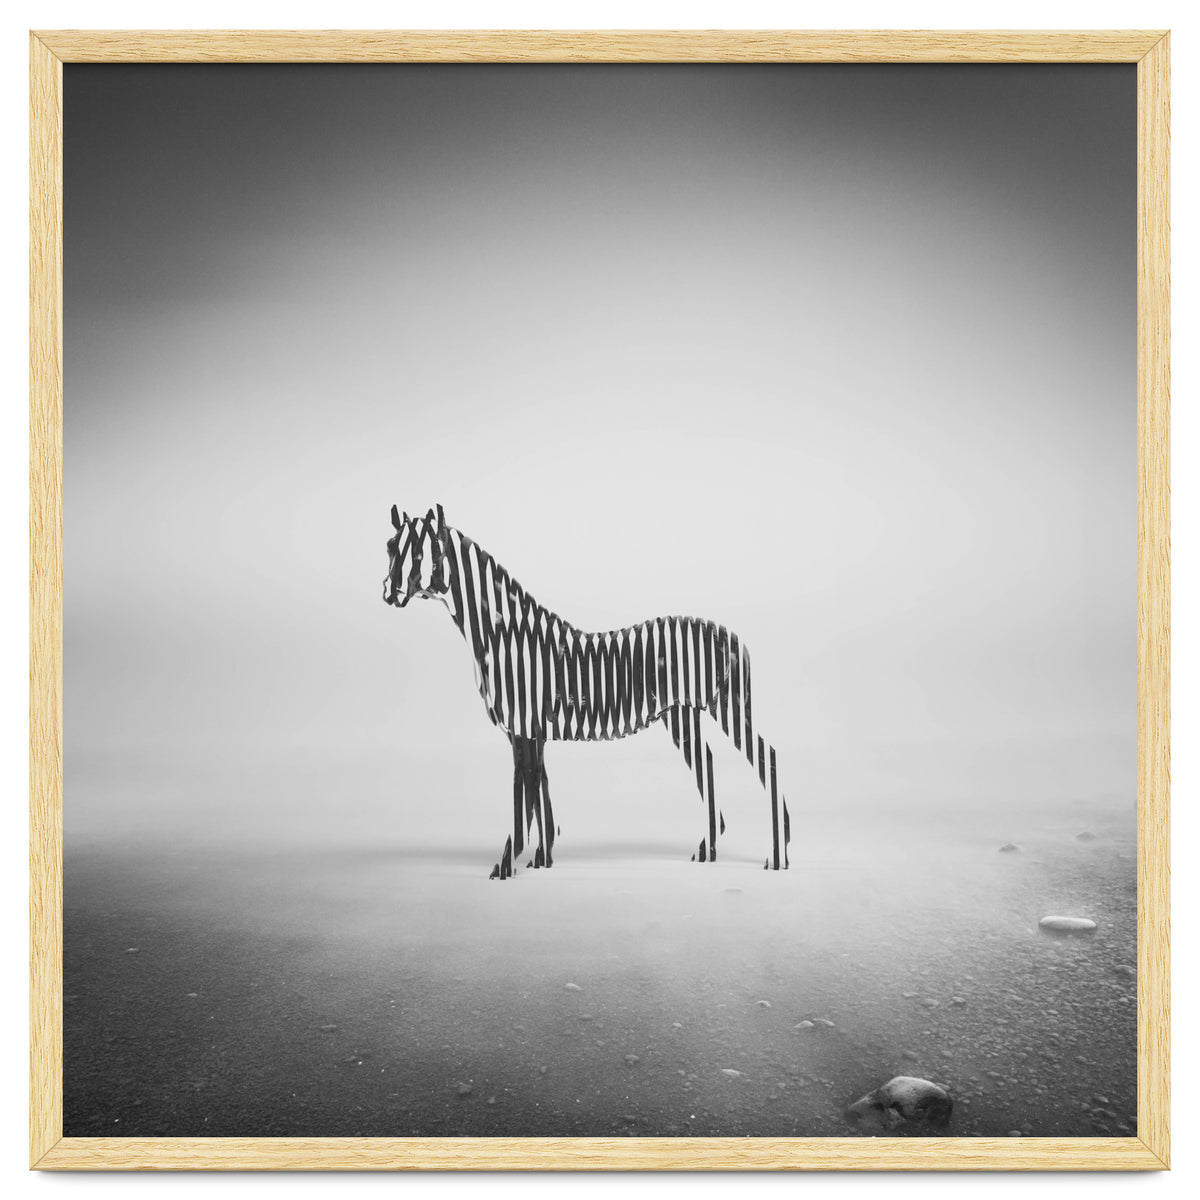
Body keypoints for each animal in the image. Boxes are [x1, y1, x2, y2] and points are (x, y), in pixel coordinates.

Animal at [383, 504, 791, 879]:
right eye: (390, 547)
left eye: (422, 553)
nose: (389, 593)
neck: (506, 636)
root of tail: (732, 635)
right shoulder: (531, 731)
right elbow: (539, 793)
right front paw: (542, 859)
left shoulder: (523, 727)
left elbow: (524, 798)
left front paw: (507, 864)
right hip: (682, 715)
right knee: (707, 763)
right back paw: (708, 850)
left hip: (727, 707)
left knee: (767, 758)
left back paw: (777, 856)